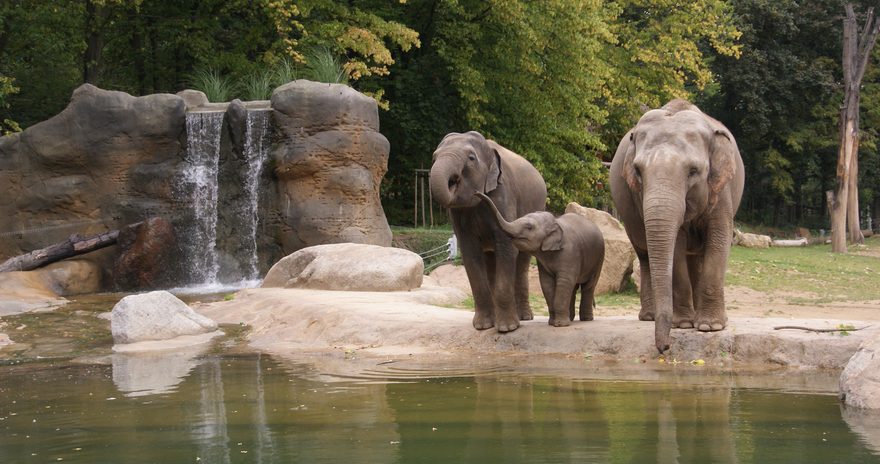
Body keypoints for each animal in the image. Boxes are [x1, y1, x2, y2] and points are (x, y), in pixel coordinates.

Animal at [430, 132, 548, 332]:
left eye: (471, 158)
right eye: (434, 157)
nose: (478, 193)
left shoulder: (503, 195)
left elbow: (507, 247)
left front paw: (507, 328)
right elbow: (470, 253)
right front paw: (483, 326)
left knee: (522, 261)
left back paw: (524, 317)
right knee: (491, 259)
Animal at [474, 192, 604, 326]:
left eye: (529, 227)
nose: (476, 193)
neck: (555, 222)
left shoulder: (570, 253)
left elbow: (564, 281)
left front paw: (559, 325)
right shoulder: (543, 262)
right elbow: (546, 283)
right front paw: (552, 323)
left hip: (599, 259)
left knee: (588, 286)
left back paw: (586, 319)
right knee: (574, 288)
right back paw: (571, 318)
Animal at [612, 99, 744, 352]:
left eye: (693, 171)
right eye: (638, 171)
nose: (664, 348)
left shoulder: (721, 190)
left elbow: (718, 239)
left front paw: (710, 327)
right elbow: (676, 246)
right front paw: (682, 325)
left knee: (697, 256)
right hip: (628, 212)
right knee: (644, 254)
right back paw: (650, 317)